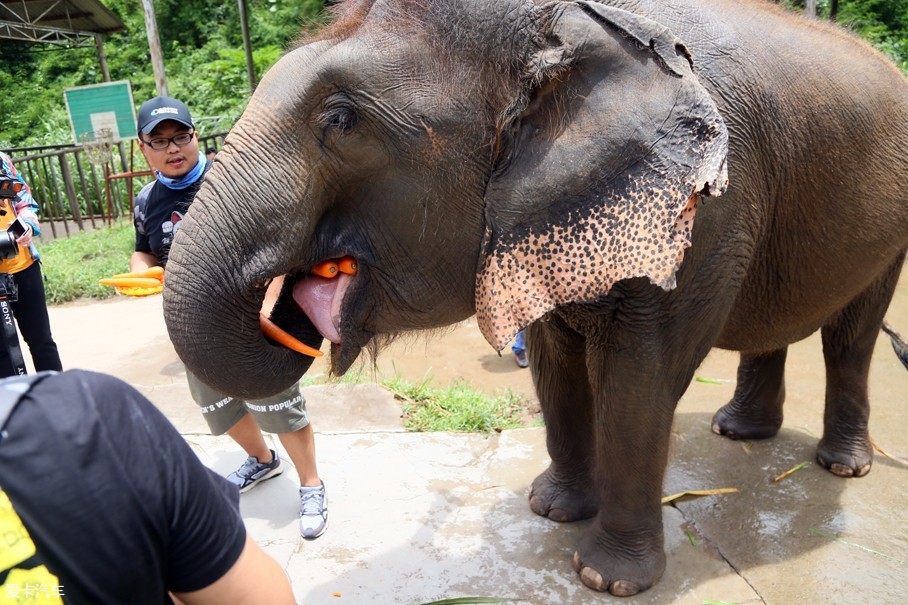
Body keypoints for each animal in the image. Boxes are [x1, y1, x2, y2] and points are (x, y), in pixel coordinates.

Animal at [163, 0, 908, 596]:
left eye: (341, 120)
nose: (287, 312)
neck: (558, 25)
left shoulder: (704, 209)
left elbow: (640, 381)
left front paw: (606, 579)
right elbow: (555, 366)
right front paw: (550, 510)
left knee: (852, 337)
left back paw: (841, 464)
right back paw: (739, 431)